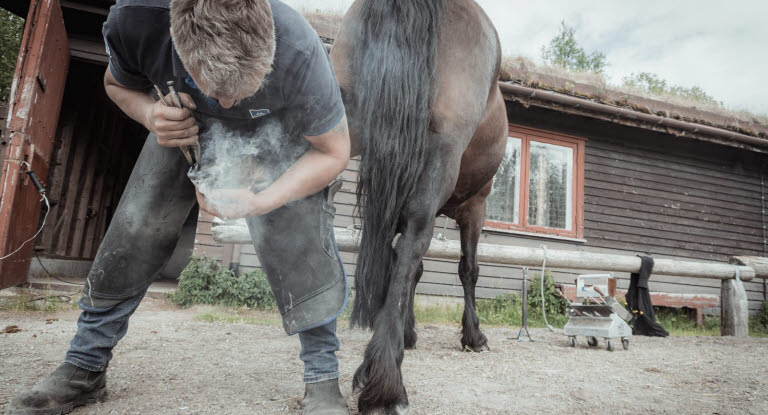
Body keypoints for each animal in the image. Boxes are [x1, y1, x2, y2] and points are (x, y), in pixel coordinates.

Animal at [330, 0, 510, 412]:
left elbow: (409, 268)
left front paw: (406, 331)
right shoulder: (475, 207)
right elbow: (467, 269)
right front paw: (474, 336)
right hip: (442, 151)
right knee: (415, 239)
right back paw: (386, 380)